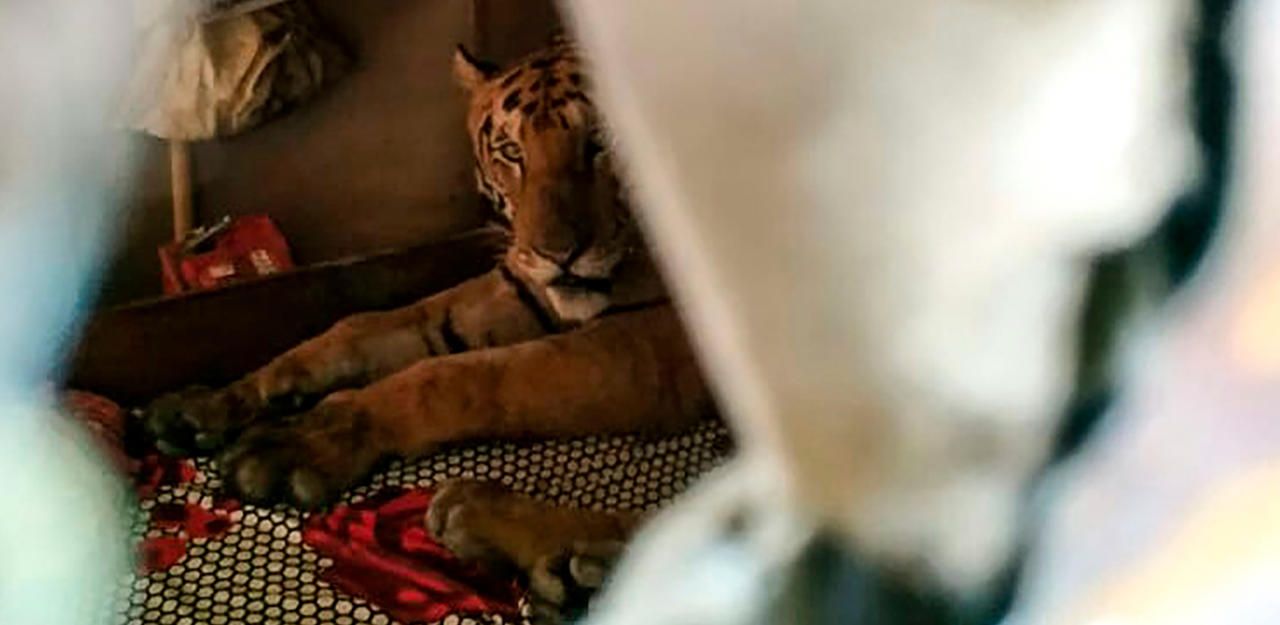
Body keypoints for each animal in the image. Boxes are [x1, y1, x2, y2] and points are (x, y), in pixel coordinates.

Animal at [142, 39, 713, 617]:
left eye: (601, 140)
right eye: (511, 152)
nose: (558, 254)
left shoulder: (652, 345)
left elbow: (458, 376)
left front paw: (300, 443)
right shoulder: (519, 287)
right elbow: (365, 329)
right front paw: (215, 404)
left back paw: (518, 535)